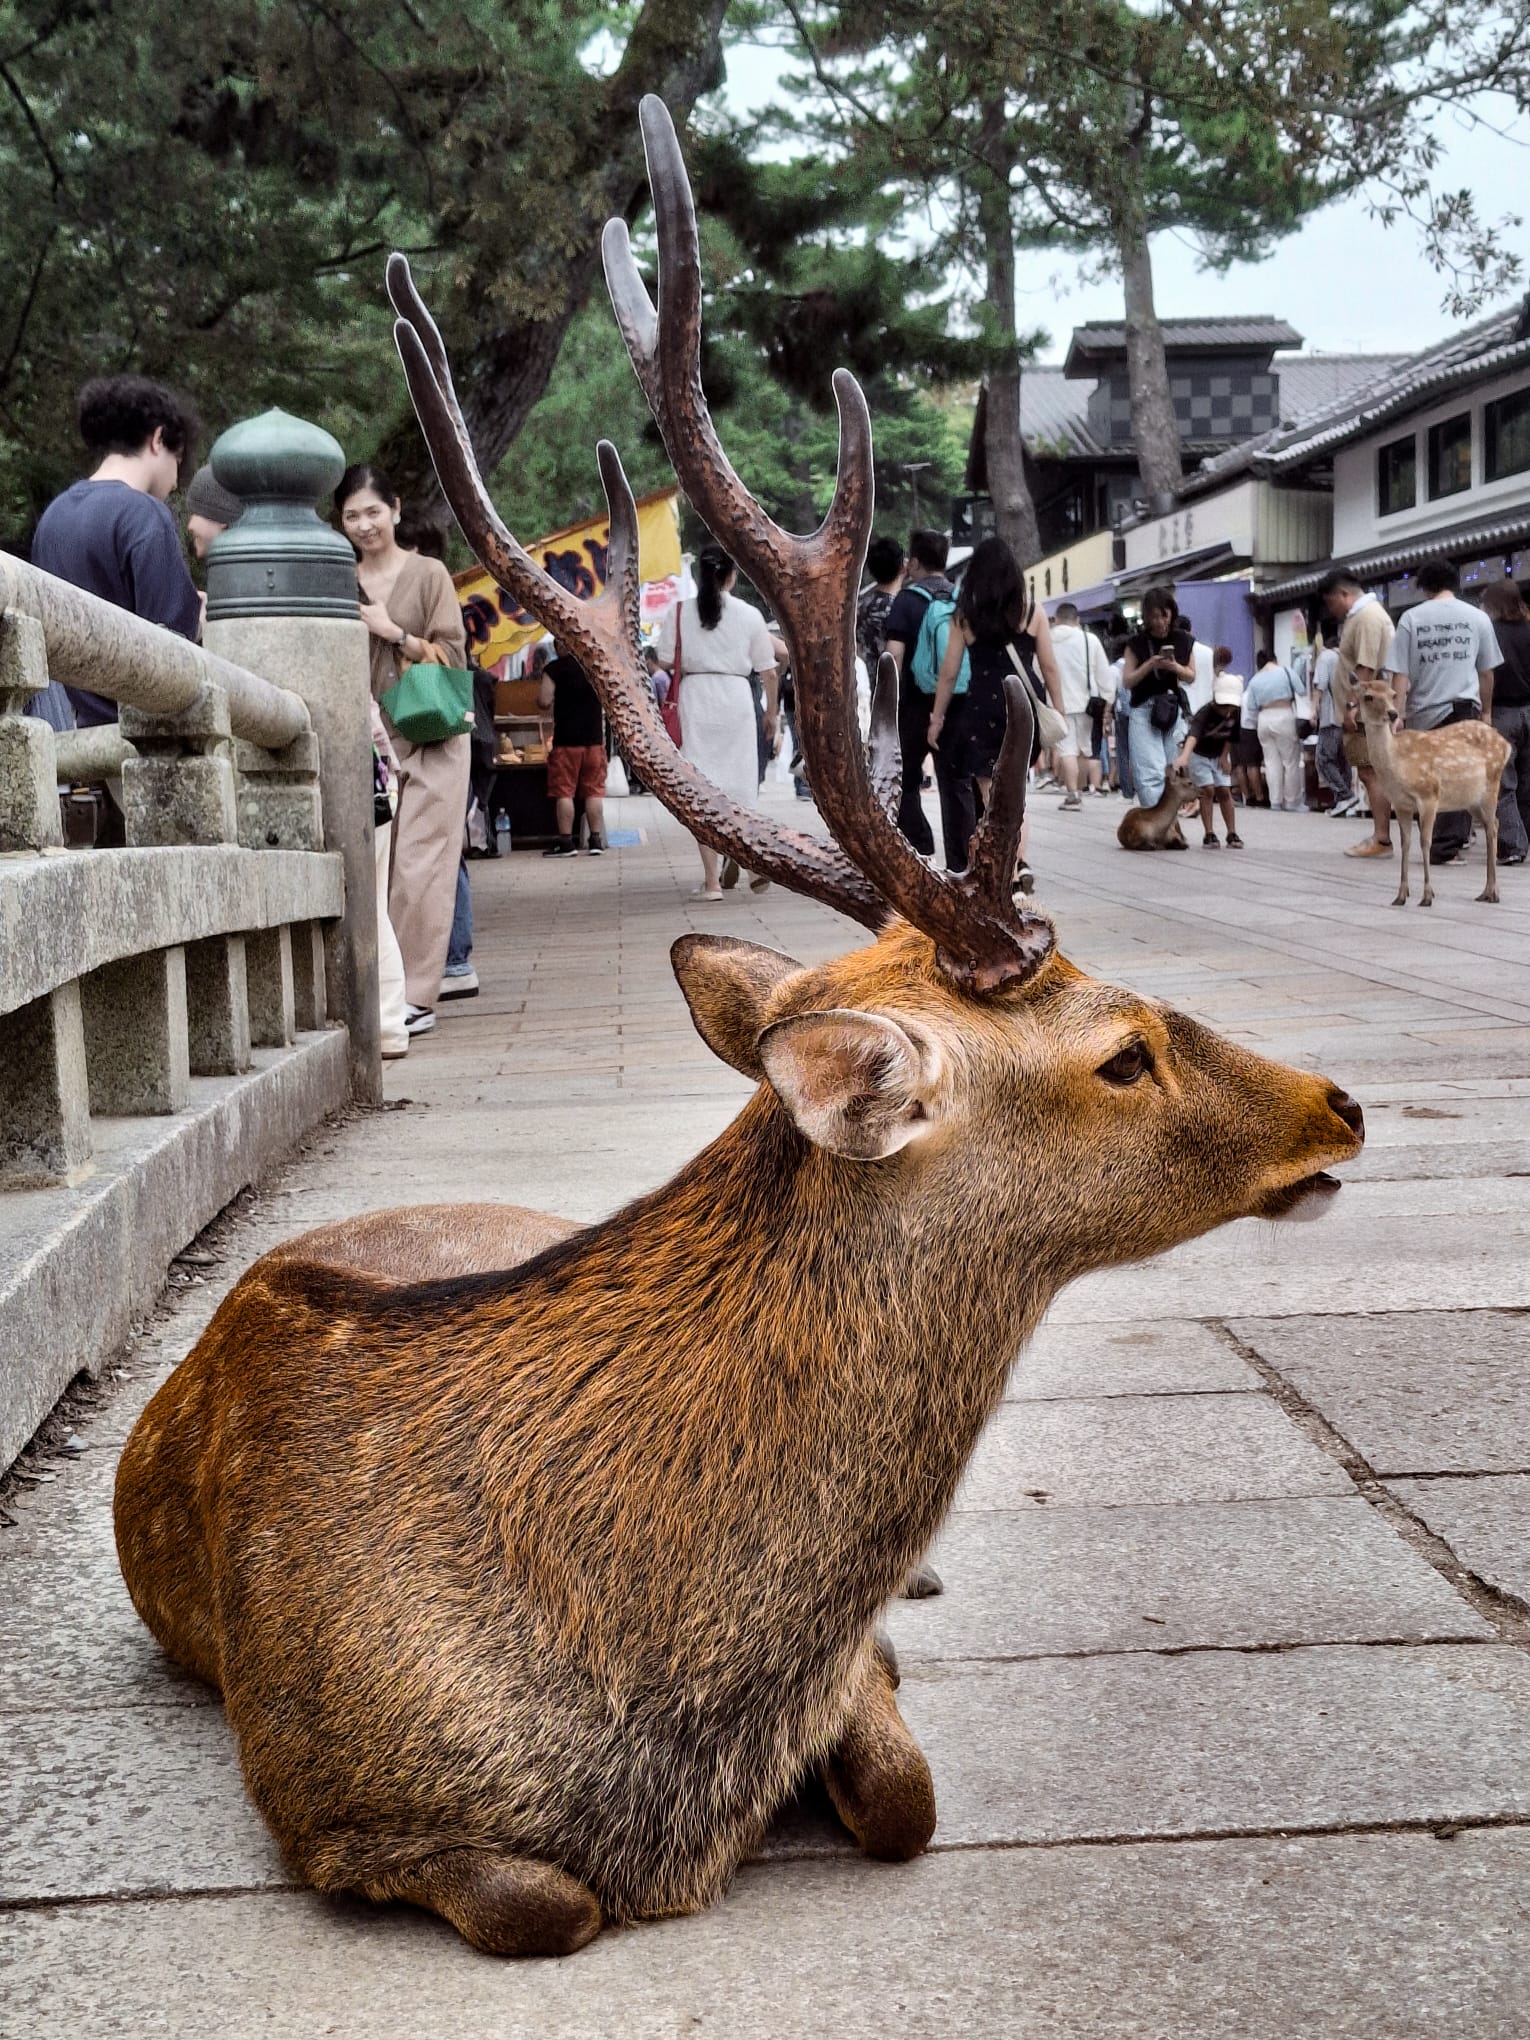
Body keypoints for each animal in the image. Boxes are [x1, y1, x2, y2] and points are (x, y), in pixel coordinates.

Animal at [1355, 675, 1511, 907]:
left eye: (1393, 694)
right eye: (1368, 696)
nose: (1393, 714)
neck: (1398, 765)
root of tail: (1507, 745)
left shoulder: (1429, 795)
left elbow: (1425, 842)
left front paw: (1427, 896)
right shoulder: (1400, 804)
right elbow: (1406, 843)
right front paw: (1400, 896)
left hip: (1492, 785)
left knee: (1492, 828)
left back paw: (1492, 893)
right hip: (1471, 799)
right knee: (1494, 824)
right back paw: (1486, 892)